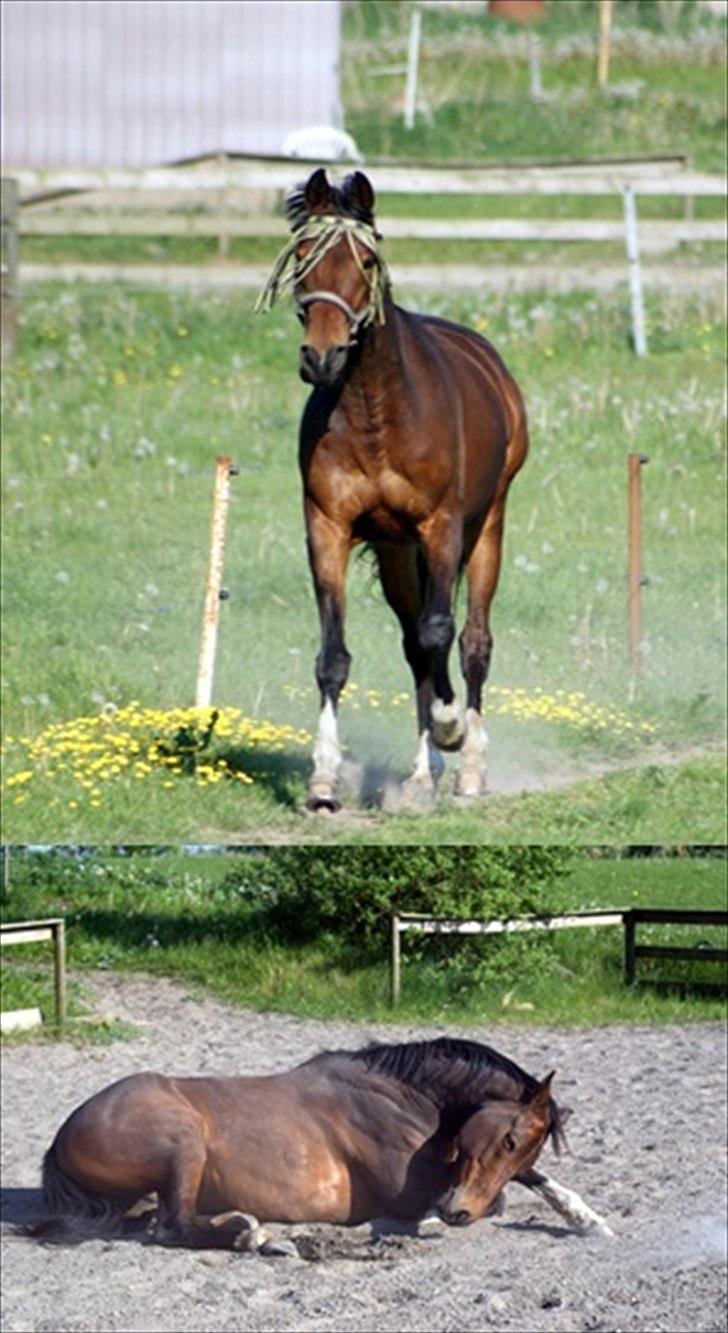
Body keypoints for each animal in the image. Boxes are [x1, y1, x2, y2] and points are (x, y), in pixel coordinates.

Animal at [25, 1039, 608, 1247]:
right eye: (506, 1137)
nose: (456, 1211)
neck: (405, 1096)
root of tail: (62, 1137)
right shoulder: (415, 1187)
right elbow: (498, 1196)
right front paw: (430, 1221)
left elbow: (529, 1182)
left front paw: (588, 1219)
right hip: (183, 1146)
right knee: (173, 1226)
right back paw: (251, 1235)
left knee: (156, 1218)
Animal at [256, 166, 528, 810]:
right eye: (302, 256)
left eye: (364, 260)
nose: (322, 357)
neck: (376, 411)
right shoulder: (328, 529)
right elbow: (334, 657)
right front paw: (323, 780)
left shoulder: (442, 527)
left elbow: (441, 633)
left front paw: (453, 730)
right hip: (398, 553)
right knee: (414, 649)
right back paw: (423, 775)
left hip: (487, 527)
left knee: (471, 641)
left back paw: (468, 768)